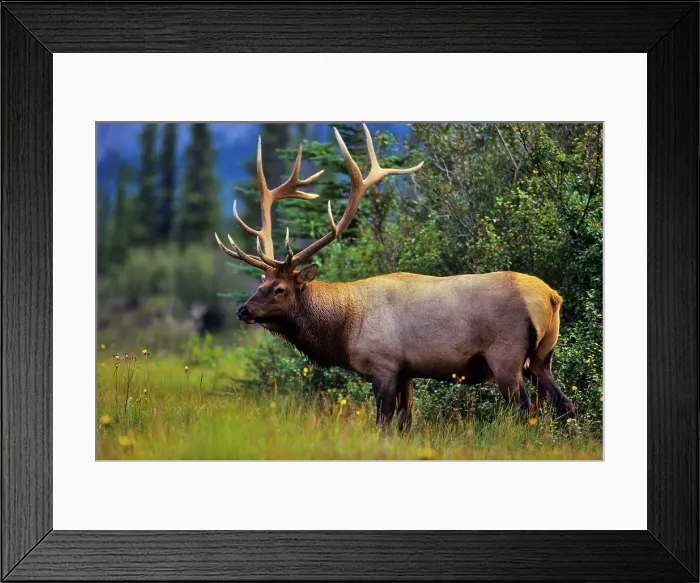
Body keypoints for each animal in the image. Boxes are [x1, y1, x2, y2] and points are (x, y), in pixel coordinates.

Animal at [215, 124, 575, 431]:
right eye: (260, 284)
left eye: (279, 289)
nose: (242, 310)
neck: (345, 327)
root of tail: (551, 297)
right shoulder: (407, 371)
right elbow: (406, 423)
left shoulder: (384, 365)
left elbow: (384, 424)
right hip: (542, 358)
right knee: (564, 404)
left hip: (506, 357)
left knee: (526, 409)